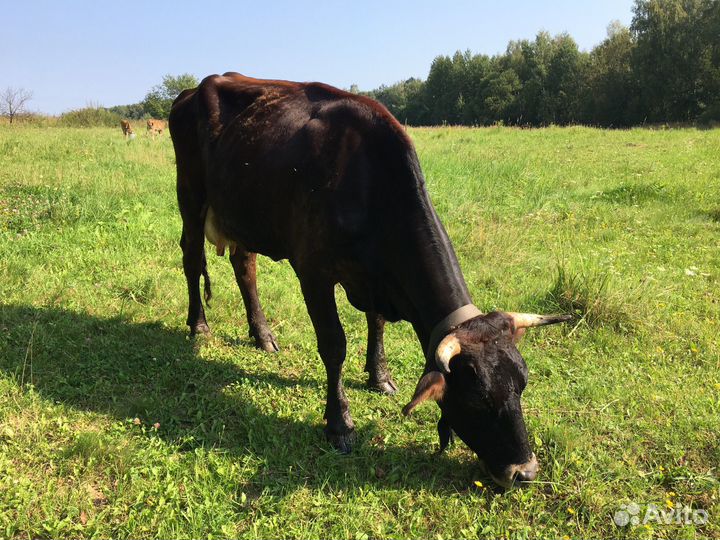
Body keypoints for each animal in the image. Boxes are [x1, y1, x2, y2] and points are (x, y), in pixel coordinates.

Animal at [169, 72, 571, 488]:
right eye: (477, 398)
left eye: (522, 383)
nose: (525, 471)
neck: (368, 181)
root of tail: (194, 89)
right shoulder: (313, 271)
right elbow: (334, 345)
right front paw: (339, 423)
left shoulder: (375, 279)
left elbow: (376, 324)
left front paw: (380, 377)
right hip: (190, 196)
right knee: (191, 257)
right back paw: (199, 324)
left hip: (244, 214)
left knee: (244, 265)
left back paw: (262, 335)